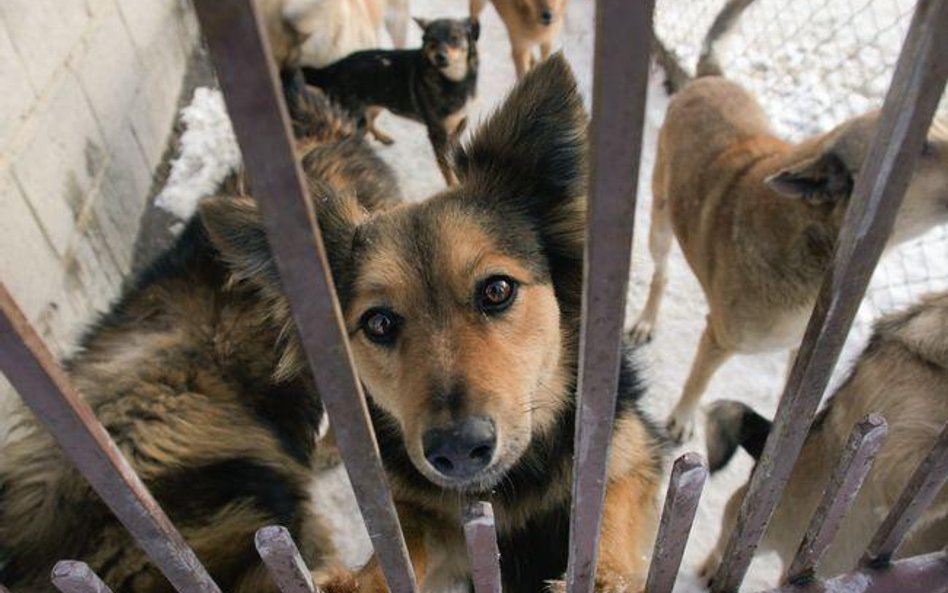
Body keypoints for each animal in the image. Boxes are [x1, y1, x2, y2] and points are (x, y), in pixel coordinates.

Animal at [300, 17, 478, 185]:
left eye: (454, 38)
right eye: (431, 40)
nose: (440, 57)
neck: (454, 81)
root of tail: (331, 69)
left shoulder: (462, 121)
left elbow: (454, 143)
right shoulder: (437, 133)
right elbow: (445, 164)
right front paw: (453, 183)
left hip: (376, 103)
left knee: (369, 122)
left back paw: (383, 137)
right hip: (355, 115)